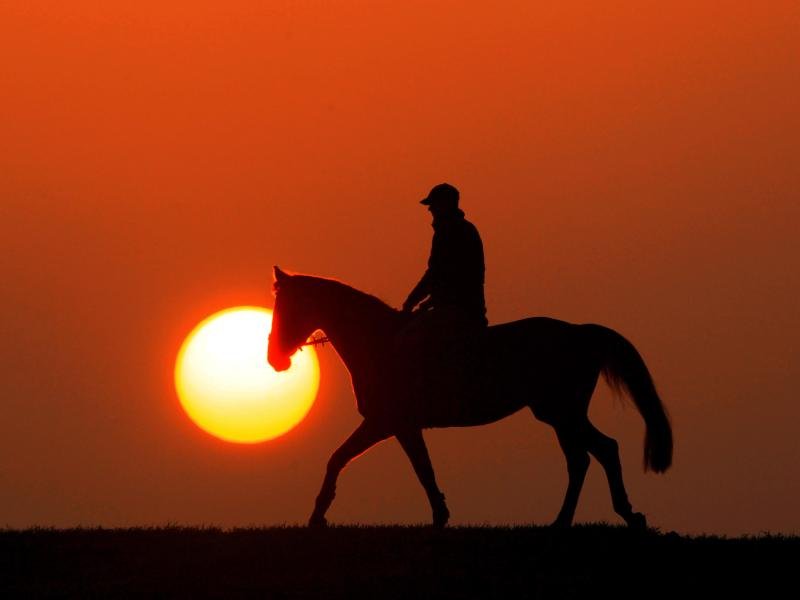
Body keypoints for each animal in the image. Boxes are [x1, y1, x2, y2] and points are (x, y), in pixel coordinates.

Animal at [268, 264, 668, 528]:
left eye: (287, 307)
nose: (274, 358)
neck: (376, 341)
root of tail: (582, 332)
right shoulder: (403, 426)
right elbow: (422, 469)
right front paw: (440, 515)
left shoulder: (383, 422)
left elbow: (338, 458)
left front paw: (317, 517)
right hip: (559, 415)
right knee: (587, 456)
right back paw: (571, 520)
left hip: (560, 412)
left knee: (598, 452)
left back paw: (612, 516)